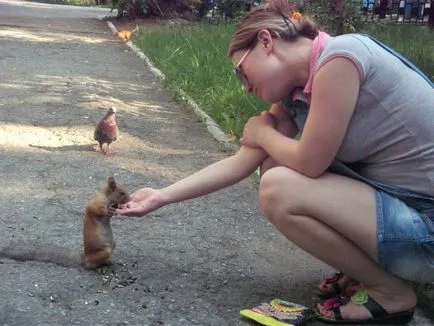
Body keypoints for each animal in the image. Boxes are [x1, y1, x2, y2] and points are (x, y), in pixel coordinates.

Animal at [0, 176, 131, 270]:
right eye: (121, 193)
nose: (129, 199)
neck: (107, 197)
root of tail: (84, 259)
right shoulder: (96, 201)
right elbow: (94, 209)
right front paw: (108, 210)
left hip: (113, 244)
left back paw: (109, 262)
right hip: (102, 252)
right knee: (93, 265)